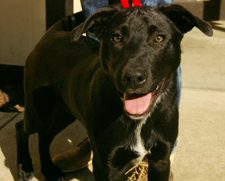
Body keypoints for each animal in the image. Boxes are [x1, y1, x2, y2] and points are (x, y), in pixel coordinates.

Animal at [16, 3, 213, 180]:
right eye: (117, 38)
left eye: (159, 38)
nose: (133, 77)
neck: (139, 121)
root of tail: (51, 33)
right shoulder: (107, 166)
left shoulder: (160, 161)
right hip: (39, 110)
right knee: (22, 128)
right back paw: (25, 168)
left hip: (64, 111)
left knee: (44, 136)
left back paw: (49, 170)